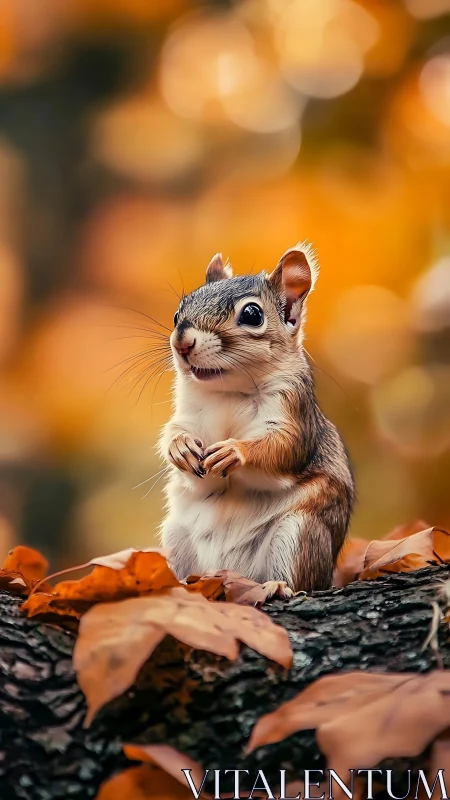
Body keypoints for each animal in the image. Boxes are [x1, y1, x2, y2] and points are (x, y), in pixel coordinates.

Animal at [159, 243, 355, 596]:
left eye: (252, 315)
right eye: (178, 313)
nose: (181, 342)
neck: (228, 392)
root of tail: (230, 573)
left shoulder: (294, 411)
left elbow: (284, 447)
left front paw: (234, 451)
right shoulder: (188, 411)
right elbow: (174, 430)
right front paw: (179, 447)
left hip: (299, 532)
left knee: (299, 580)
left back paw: (277, 585)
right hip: (176, 538)